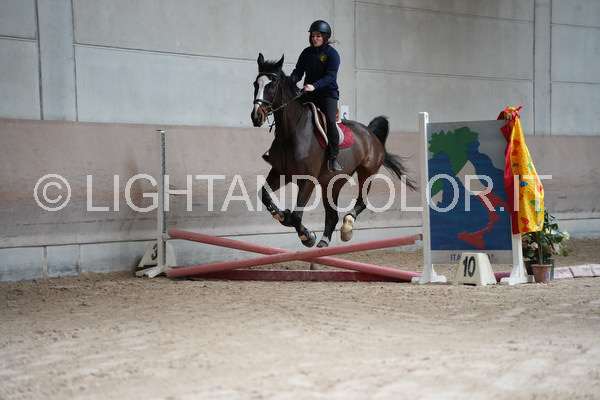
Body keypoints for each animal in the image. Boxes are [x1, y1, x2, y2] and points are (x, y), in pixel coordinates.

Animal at [251, 53, 417, 248]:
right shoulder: (280, 172)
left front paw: (307, 236)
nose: (256, 117)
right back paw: (324, 241)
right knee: (332, 215)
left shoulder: (308, 179)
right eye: (255, 84)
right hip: (332, 183)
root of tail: (370, 133)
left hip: (367, 173)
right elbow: (264, 196)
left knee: (360, 203)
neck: (291, 132)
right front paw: (281, 214)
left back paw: (346, 228)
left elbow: (297, 216)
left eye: (272, 85)